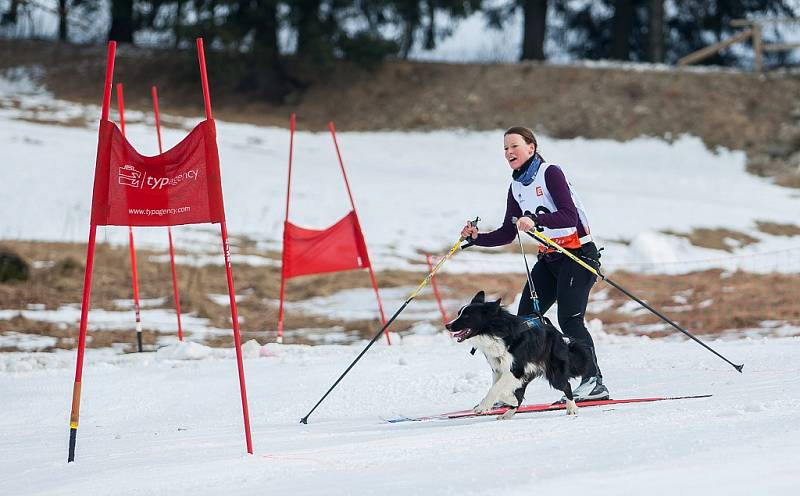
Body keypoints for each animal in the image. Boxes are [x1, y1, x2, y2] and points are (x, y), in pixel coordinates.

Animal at [444, 288, 592, 420]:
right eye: (459, 313)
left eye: (466, 316)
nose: (447, 325)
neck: (497, 332)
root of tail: (558, 334)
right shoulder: (499, 369)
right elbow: (499, 389)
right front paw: (510, 400)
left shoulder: (517, 368)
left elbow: (495, 388)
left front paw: (483, 407)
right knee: (521, 394)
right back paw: (507, 414)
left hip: (554, 372)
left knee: (566, 386)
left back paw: (572, 408)